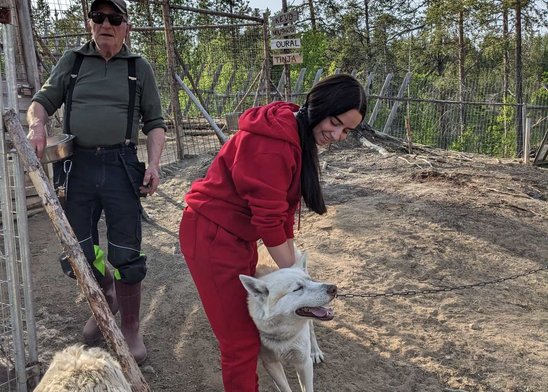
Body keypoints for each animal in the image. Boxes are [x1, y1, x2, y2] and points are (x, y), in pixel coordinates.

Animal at [241, 248, 338, 392]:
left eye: (310, 280)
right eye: (297, 288)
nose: (334, 288)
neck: (284, 335)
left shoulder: (304, 363)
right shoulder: (271, 364)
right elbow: (285, 388)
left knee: (311, 331)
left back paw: (315, 351)